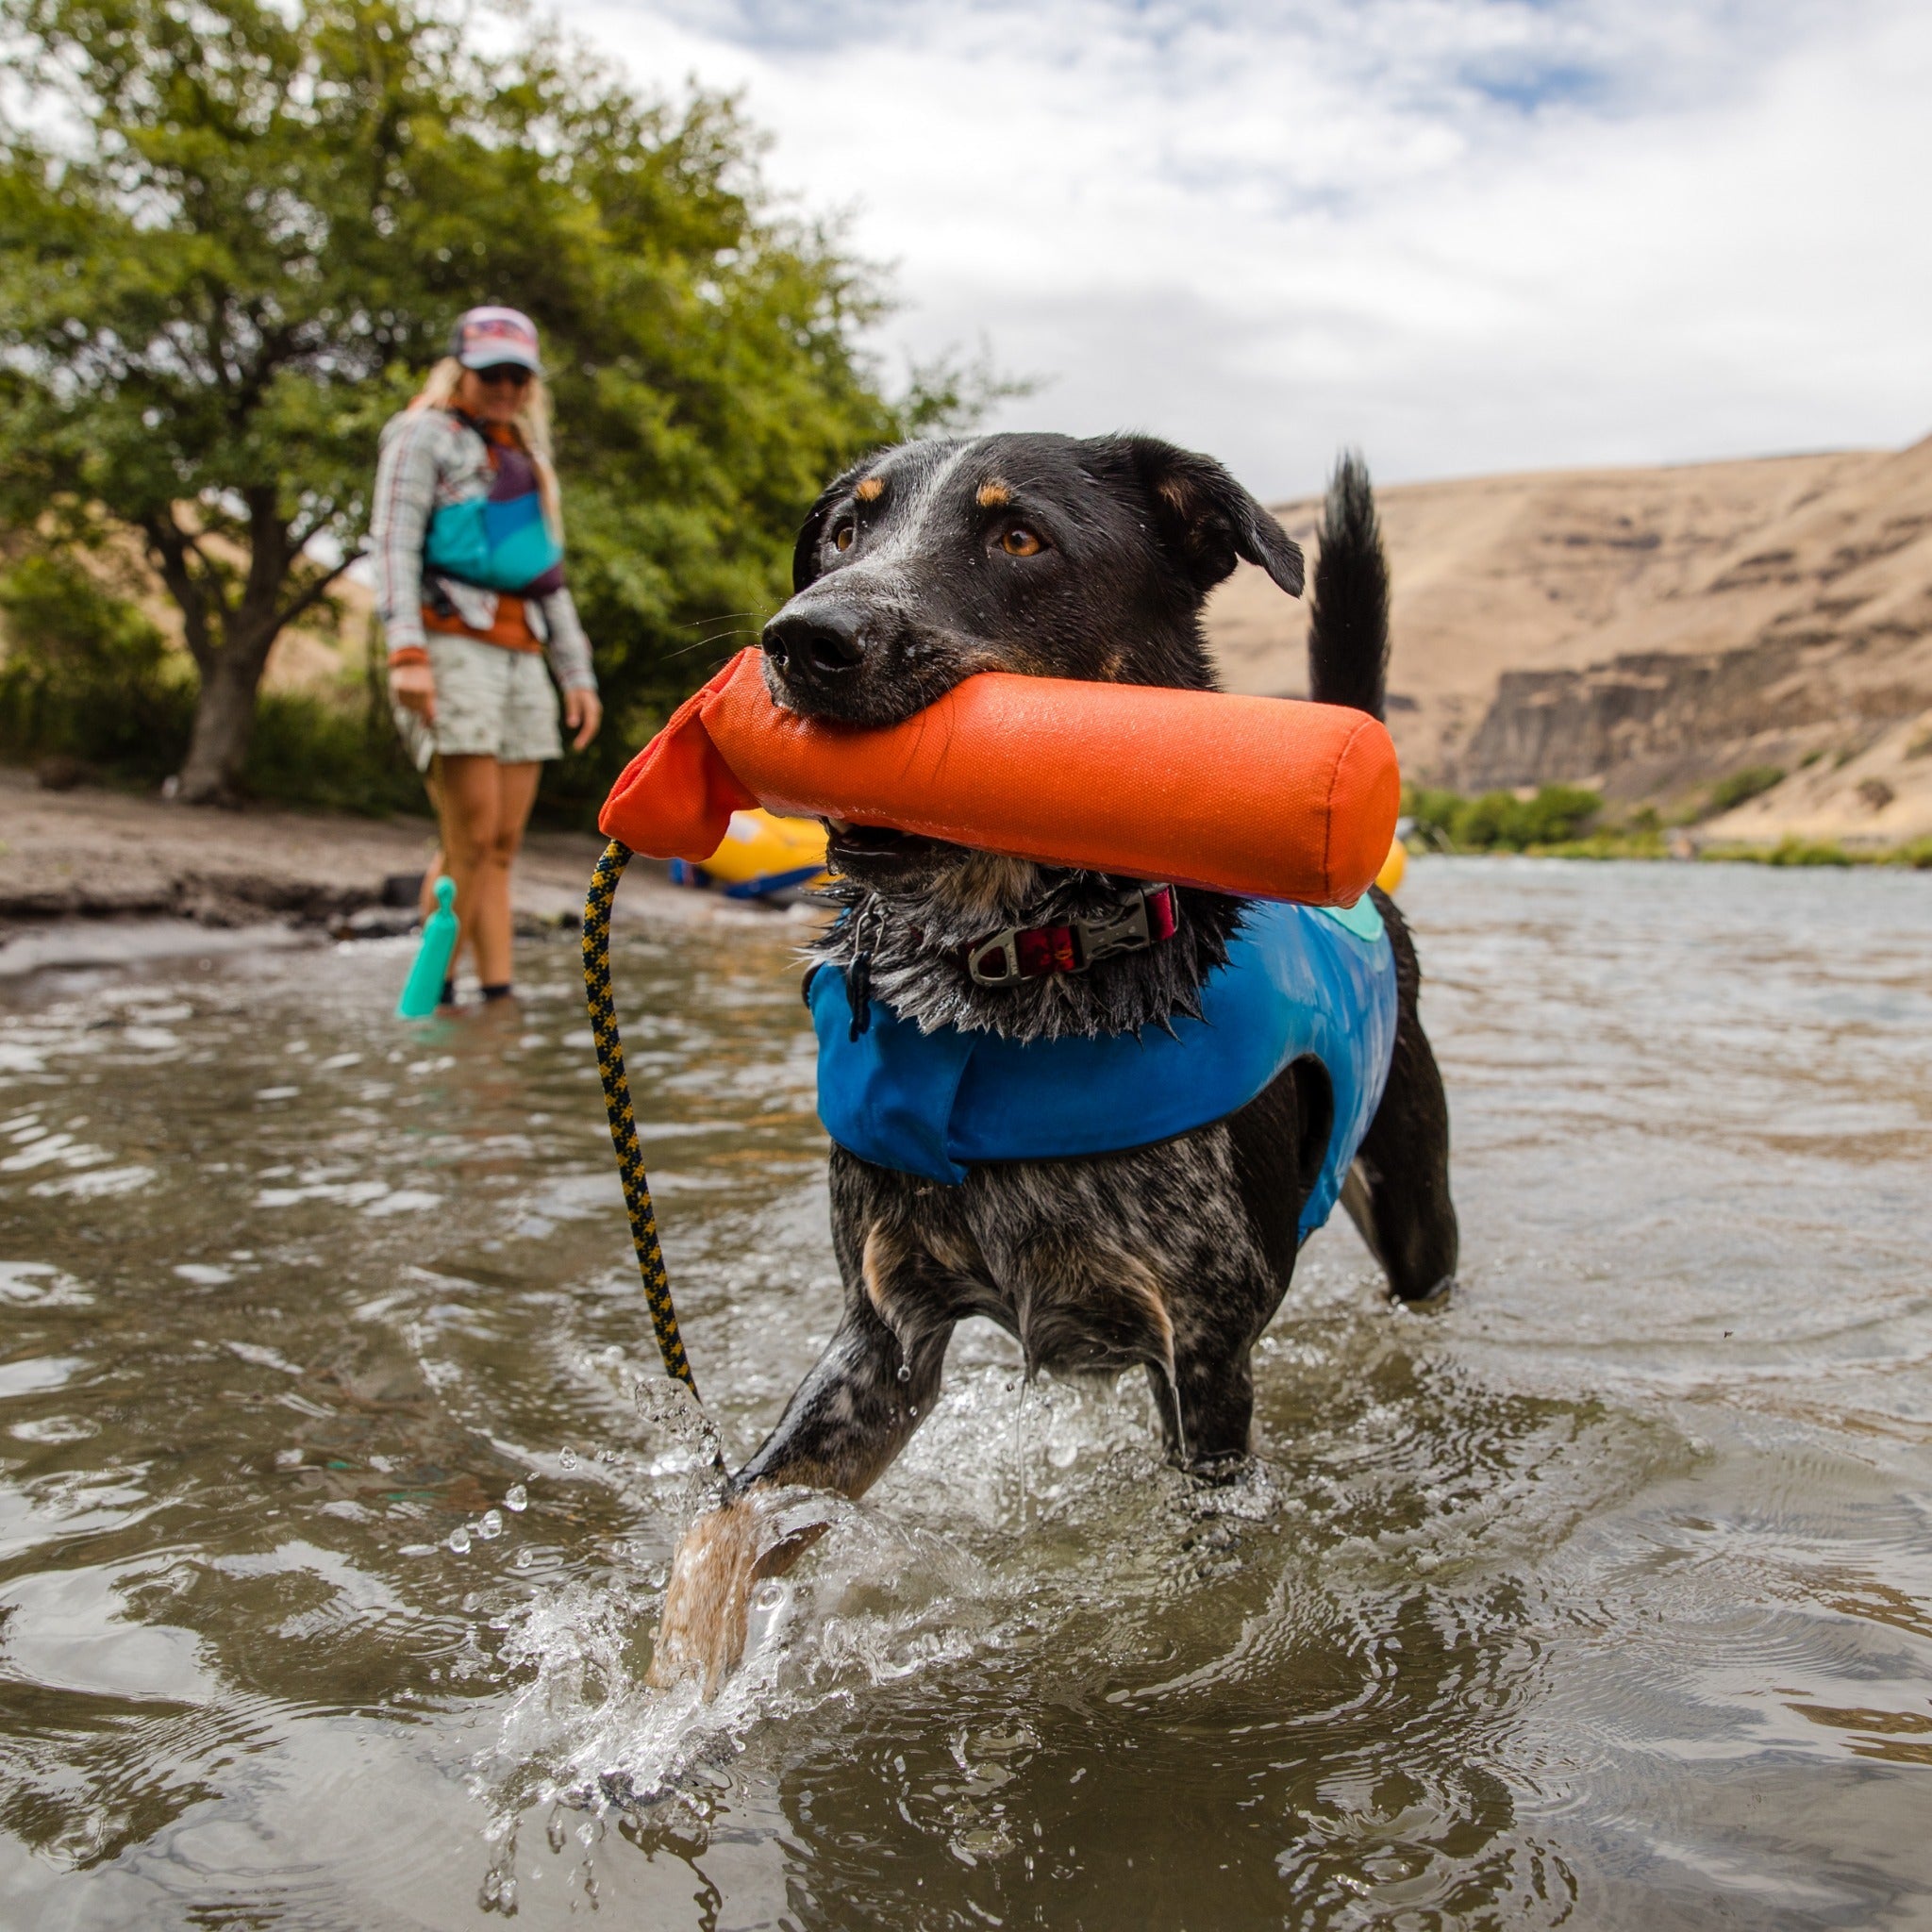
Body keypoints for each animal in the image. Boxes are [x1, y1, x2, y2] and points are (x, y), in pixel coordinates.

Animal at [645, 426, 1453, 1692]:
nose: (803, 638)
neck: (1011, 974)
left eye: (1018, 537)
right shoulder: (883, 1342)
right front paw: (656, 1707)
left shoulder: (1204, 1354)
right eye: (845, 531)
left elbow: (1207, 1574)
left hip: (1417, 1216)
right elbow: (720, 1522)